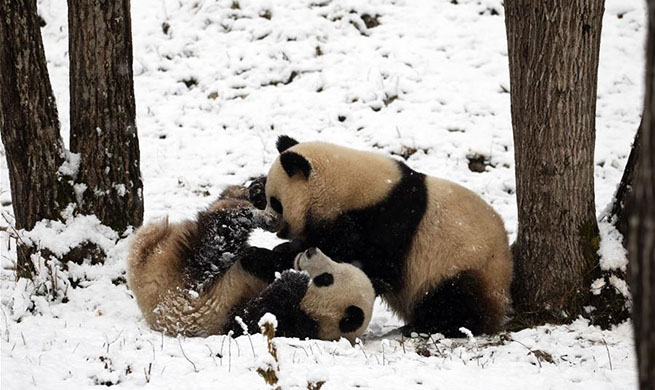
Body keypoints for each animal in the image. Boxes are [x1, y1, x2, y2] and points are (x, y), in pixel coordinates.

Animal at [126, 186, 376, 342]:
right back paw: (251, 193)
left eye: (326, 279)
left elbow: (250, 320)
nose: (310, 251)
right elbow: (265, 260)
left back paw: (251, 213)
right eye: (337, 263)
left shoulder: (286, 324)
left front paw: (294, 279)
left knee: (217, 238)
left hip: (182, 285)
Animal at [264, 136, 516, 336]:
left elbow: (366, 259)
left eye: (275, 202)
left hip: (465, 265)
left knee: (454, 298)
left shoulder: (389, 221)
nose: (269, 223)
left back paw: (430, 327)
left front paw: (288, 253)